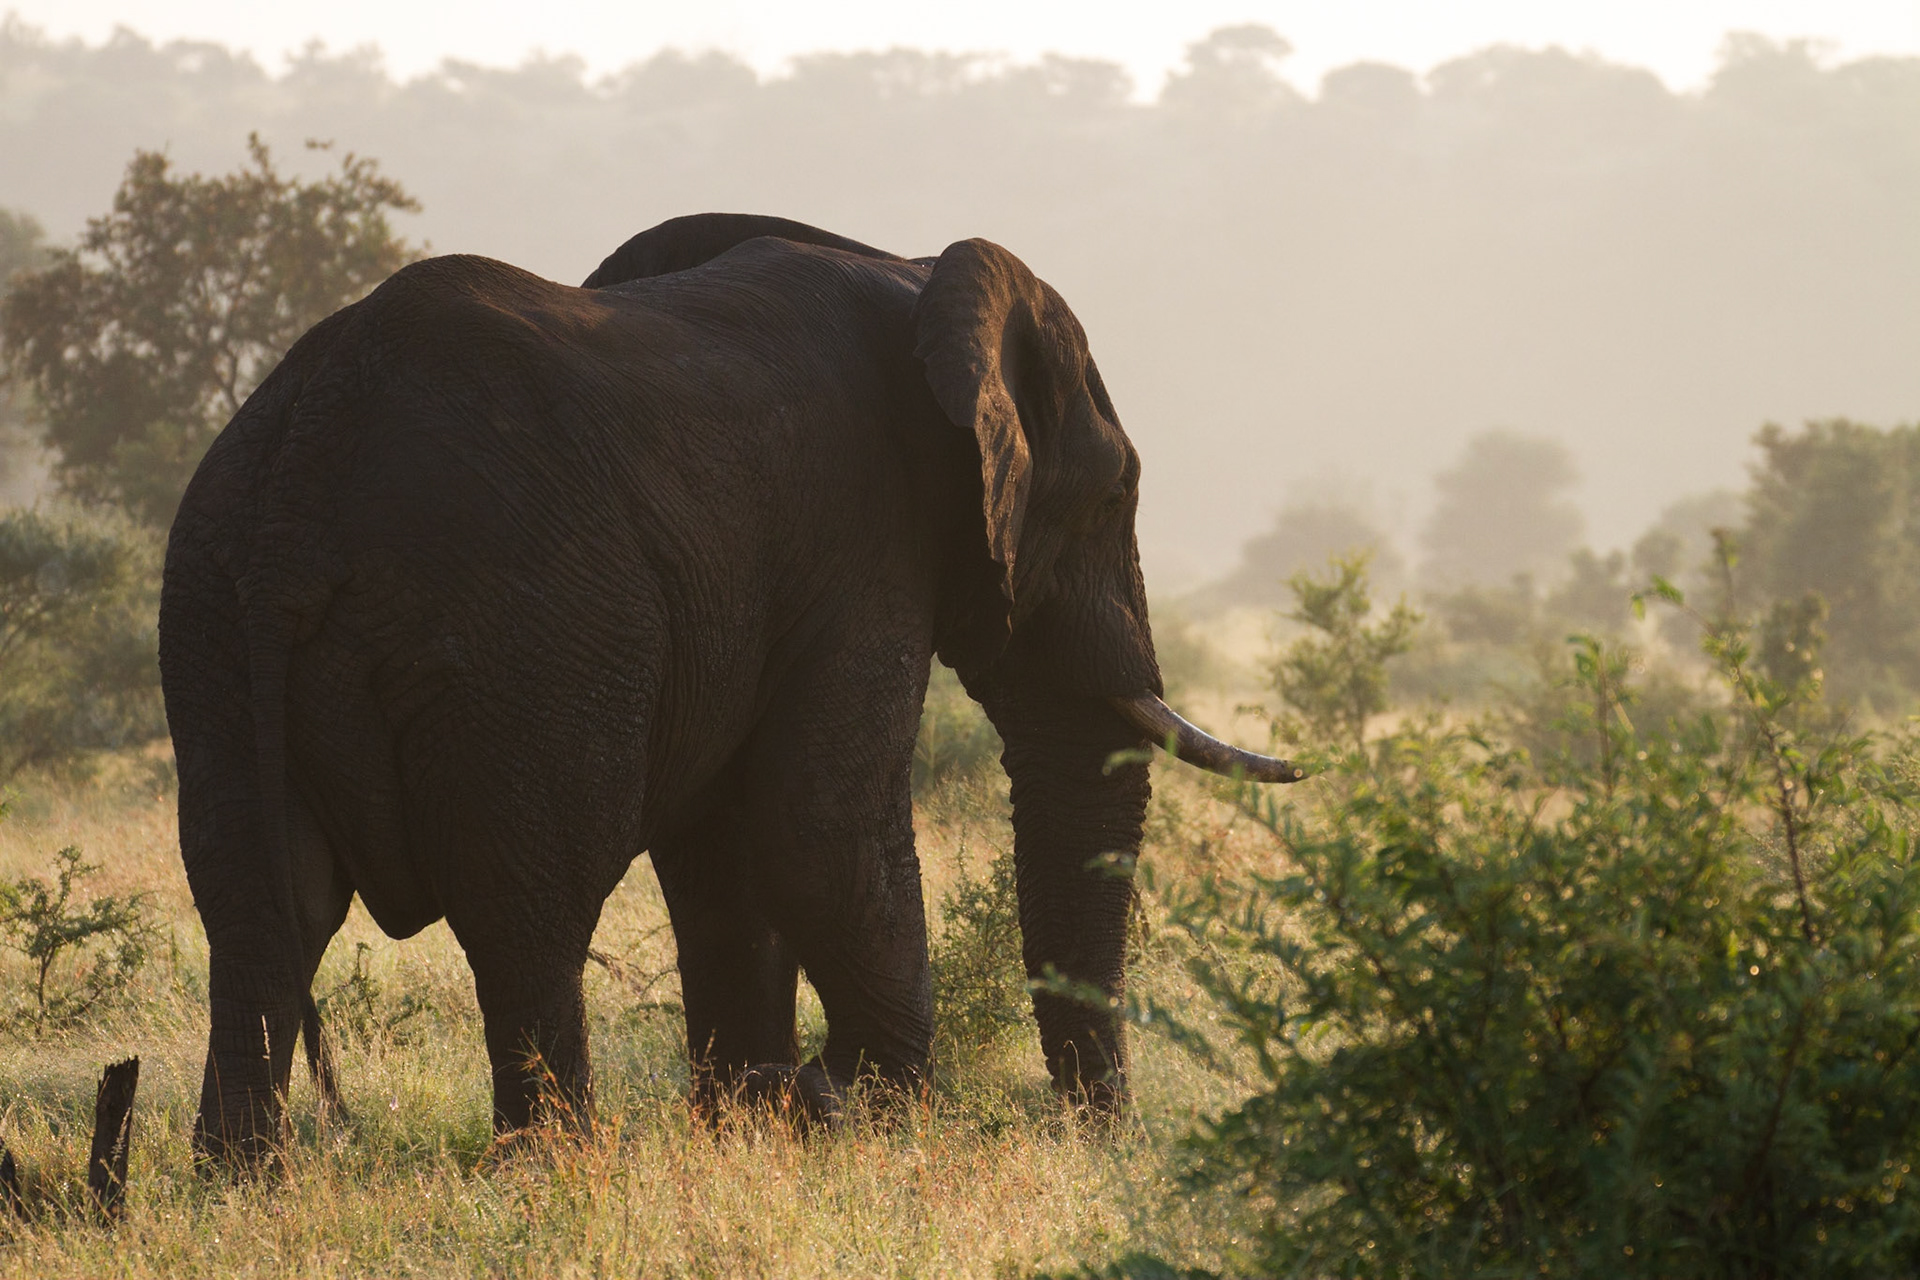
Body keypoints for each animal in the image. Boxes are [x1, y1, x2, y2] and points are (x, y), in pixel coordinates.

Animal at [159, 212, 1302, 1162]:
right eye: (1115, 497)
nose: (1095, 1135)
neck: (917, 274)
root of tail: (305, 471)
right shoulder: (863, 542)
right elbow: (818, 826)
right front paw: (868, 1121)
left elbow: (724, 856)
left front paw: (758, 1122)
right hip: (516, 633)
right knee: (527, 903)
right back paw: (557, 1169)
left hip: (209, 617)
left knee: (262, 905)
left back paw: (245, 1180)